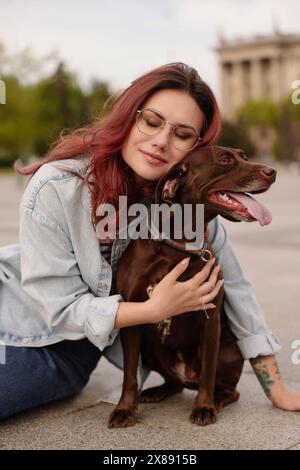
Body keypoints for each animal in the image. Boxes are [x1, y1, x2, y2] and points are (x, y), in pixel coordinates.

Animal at [108, 145, 276, 428]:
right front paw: (124, 409)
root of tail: (187, 377)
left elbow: (208, 371)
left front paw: (204, 407)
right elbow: (129, 375)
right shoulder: (132, 322)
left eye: (244, 156)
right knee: (174, 383)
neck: (176, 246)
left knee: (228, 389)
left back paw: (216, 399)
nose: (272, 171)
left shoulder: (210, 321)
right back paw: (157, 391)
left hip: (228, 349)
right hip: (150, 350)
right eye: (225, 159)